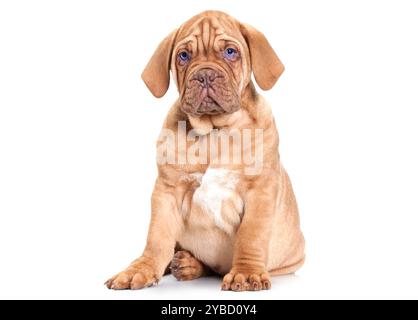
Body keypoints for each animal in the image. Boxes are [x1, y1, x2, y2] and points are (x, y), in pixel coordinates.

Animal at [106, 10, 306, 292]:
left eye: (231, 52)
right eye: (183, 55)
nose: (205, 75)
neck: (214, 131)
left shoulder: (260, 191)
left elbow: (251, 236)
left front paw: (246, 274)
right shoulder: (167, 191)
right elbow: (157, 238)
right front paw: (140, 270)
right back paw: (185, 264)